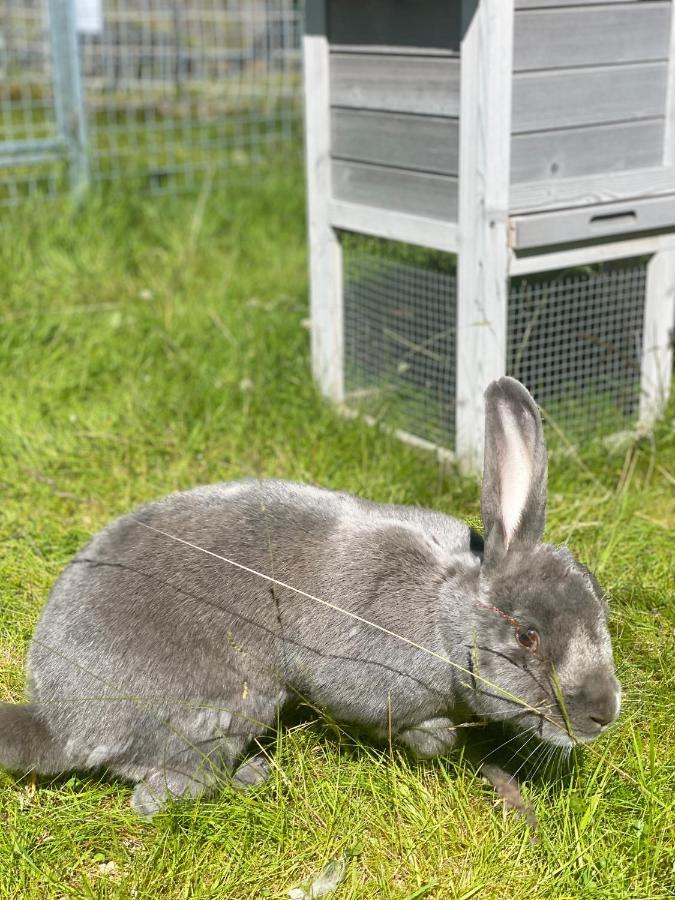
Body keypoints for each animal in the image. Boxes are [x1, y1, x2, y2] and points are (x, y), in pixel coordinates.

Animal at [0, 376, 620, 812]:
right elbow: (400, 724)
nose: (603, 713)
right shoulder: (369, 680)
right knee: (157, 793)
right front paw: (441, 740)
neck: (446, 612)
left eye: (600, 606)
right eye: (527, 636)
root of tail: (60, 723)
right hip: (230, 705)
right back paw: (250, 775)